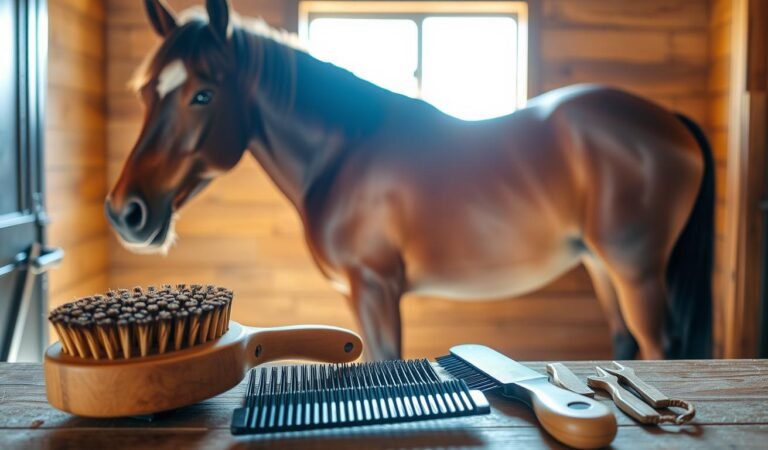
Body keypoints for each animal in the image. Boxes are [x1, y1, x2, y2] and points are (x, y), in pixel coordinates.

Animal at [106, 0, 714, 361]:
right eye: (146, 91)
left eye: (202, 94)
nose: (126, 212)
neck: (342, 152)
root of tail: (667, 119)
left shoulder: (375, 288)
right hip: (601, 266)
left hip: (636, 272)